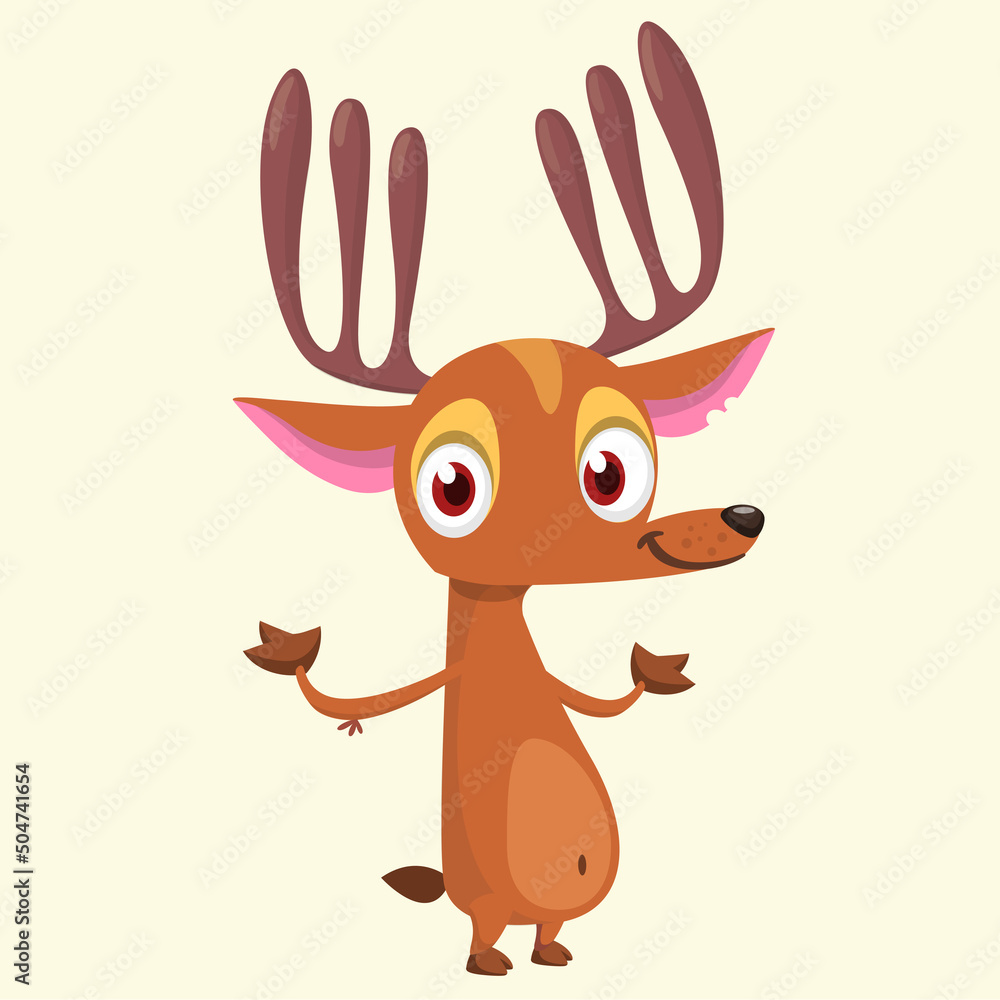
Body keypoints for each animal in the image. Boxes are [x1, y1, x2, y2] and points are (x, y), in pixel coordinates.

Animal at [237, 22, 773, 976]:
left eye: (610, 469)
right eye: (453, 487)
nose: (738, 519)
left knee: (549, 928)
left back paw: (551, 954)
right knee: (492, 925)